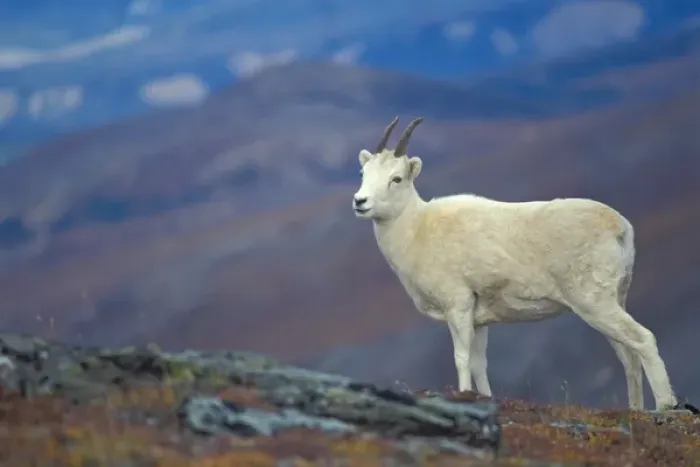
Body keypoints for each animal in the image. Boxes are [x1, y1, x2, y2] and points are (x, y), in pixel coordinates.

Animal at [352, 116, 680, 412]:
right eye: (363, 172)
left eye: (396, 178)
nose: (360, 201)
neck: (417, 230)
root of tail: (620, 227)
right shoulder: (479, 320)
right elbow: (479, 363)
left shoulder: (458, 306)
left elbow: (461, 359)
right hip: (612, 302)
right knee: (628, 356)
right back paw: (636, 409)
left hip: (595, 304)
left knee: (643, 340)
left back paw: (666, 405)